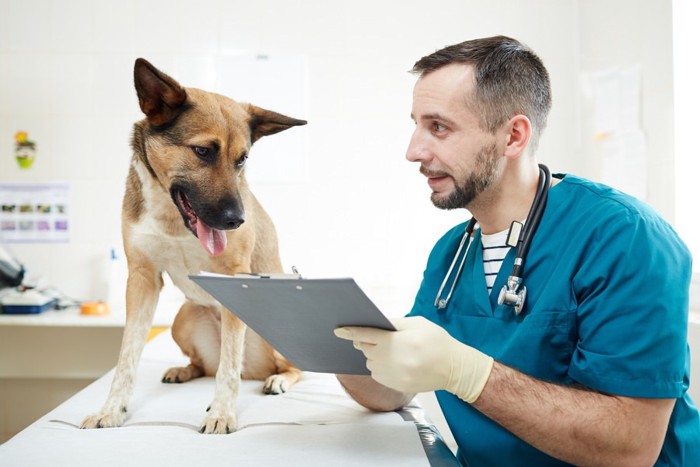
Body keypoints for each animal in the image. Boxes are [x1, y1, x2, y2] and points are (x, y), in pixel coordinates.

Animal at [80, 58, 304, 436]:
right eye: (202, 151)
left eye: (242, 159)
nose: (236, 220)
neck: (174, 221)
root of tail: (254, 370)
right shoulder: (142, 278)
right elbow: (127, 357)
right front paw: (112, 409)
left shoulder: (235, 276)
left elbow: (228, 369)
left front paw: (221, 413)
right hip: (182, 319)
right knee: (205, 365)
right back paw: (184, 370)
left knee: (285, 366)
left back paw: (277, 379)